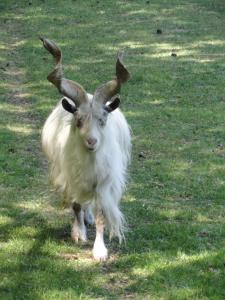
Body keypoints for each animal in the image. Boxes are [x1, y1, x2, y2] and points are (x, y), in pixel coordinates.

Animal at [40, 38, 132, 260]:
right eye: (79, 120)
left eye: (102, 119)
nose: (91, 142)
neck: (89, 161)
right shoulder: (70, 178)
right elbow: (76, 205)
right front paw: (79, 234)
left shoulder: (104, 182)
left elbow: (101, 216)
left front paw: (99, 251)